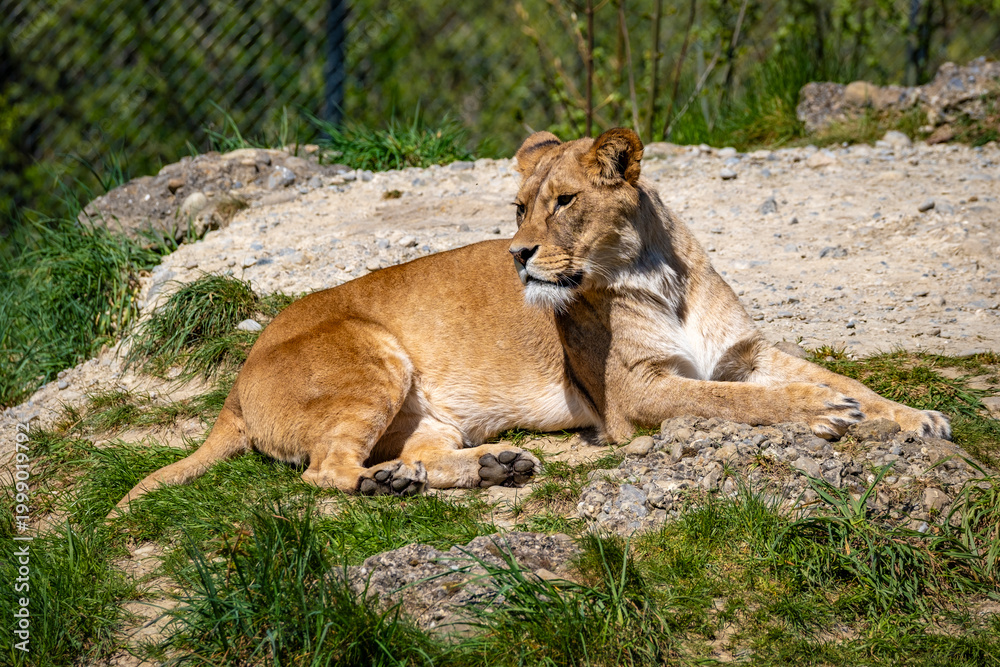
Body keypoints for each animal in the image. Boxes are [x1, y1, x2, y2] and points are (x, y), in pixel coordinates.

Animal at [112, 127, 950, 512]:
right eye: (519, 208)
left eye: (565, 201)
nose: (517, 254)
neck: (655, 270)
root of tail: (238, 376)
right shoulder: (636, 396)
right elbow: (735, 401)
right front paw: (822, 414)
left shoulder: (744, 350)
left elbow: (838, 378)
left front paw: (917, 417)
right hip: (374, 354)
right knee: (327, 471)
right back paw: (391, 484)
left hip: (428, 412)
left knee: (418, 451)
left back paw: (488, 467)